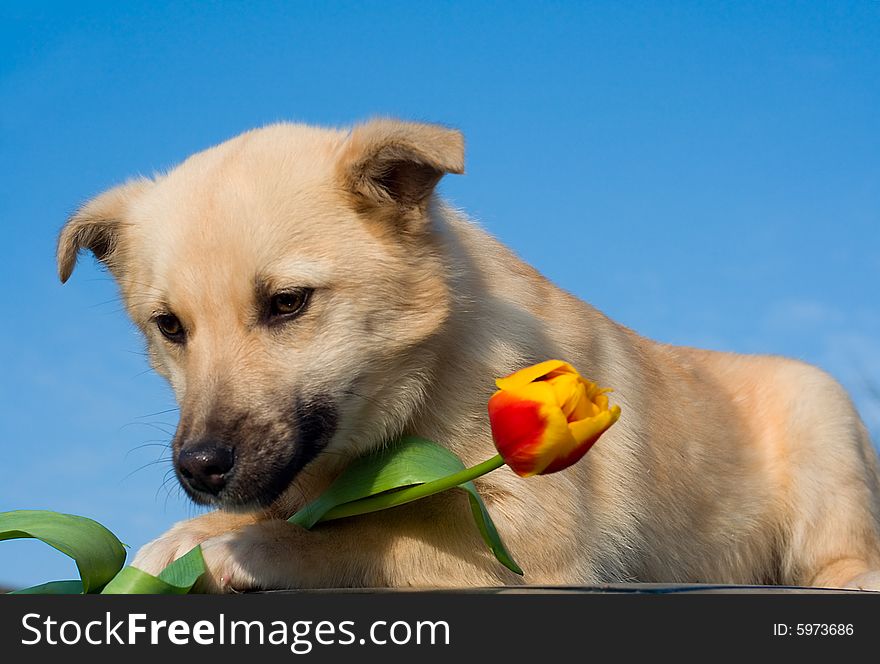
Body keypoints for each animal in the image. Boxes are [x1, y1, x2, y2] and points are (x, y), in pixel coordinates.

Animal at [55, 119, 880, 592]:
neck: (425, 380)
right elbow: (294, 517)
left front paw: (248, 552)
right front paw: (177, 547)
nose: (200, 469)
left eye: (287, 303)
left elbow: (377, 535)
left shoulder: (533, 547)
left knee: (848, 559)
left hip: (822, 414)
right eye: (170, 327)